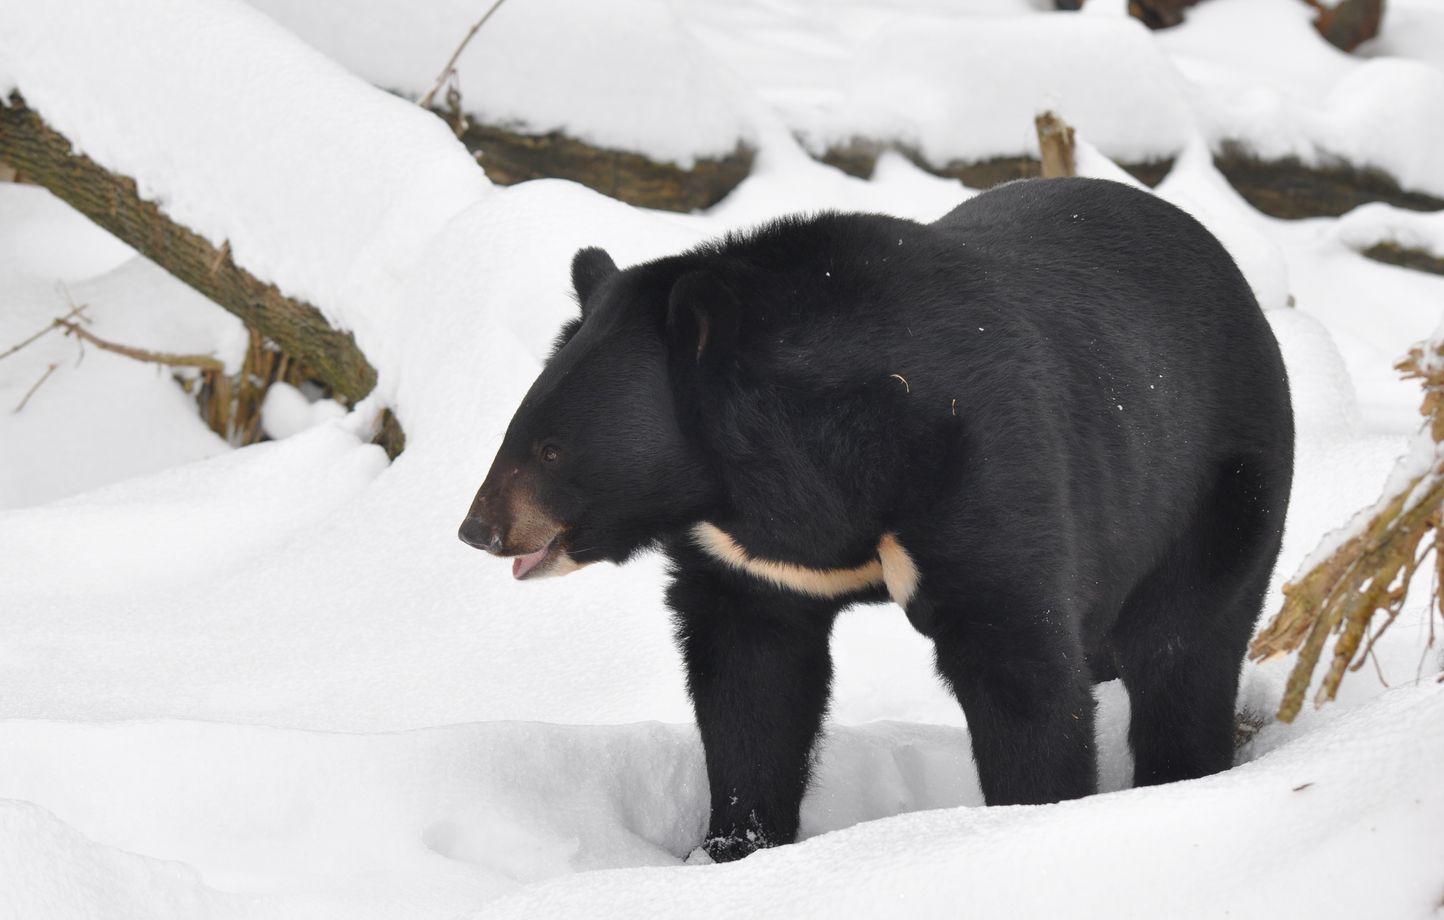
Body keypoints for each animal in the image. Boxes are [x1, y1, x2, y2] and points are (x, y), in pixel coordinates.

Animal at [456, 177, 1293, 860]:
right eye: (517, 431)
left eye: (553, 448)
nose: (479, 530)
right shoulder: (751, 563)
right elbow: (749, 683)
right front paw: (732, 847)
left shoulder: (977, 466)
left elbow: (1018, 662)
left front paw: (1028, 817)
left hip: (1217, 492)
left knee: (1183, 652)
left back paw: (1178, 776)